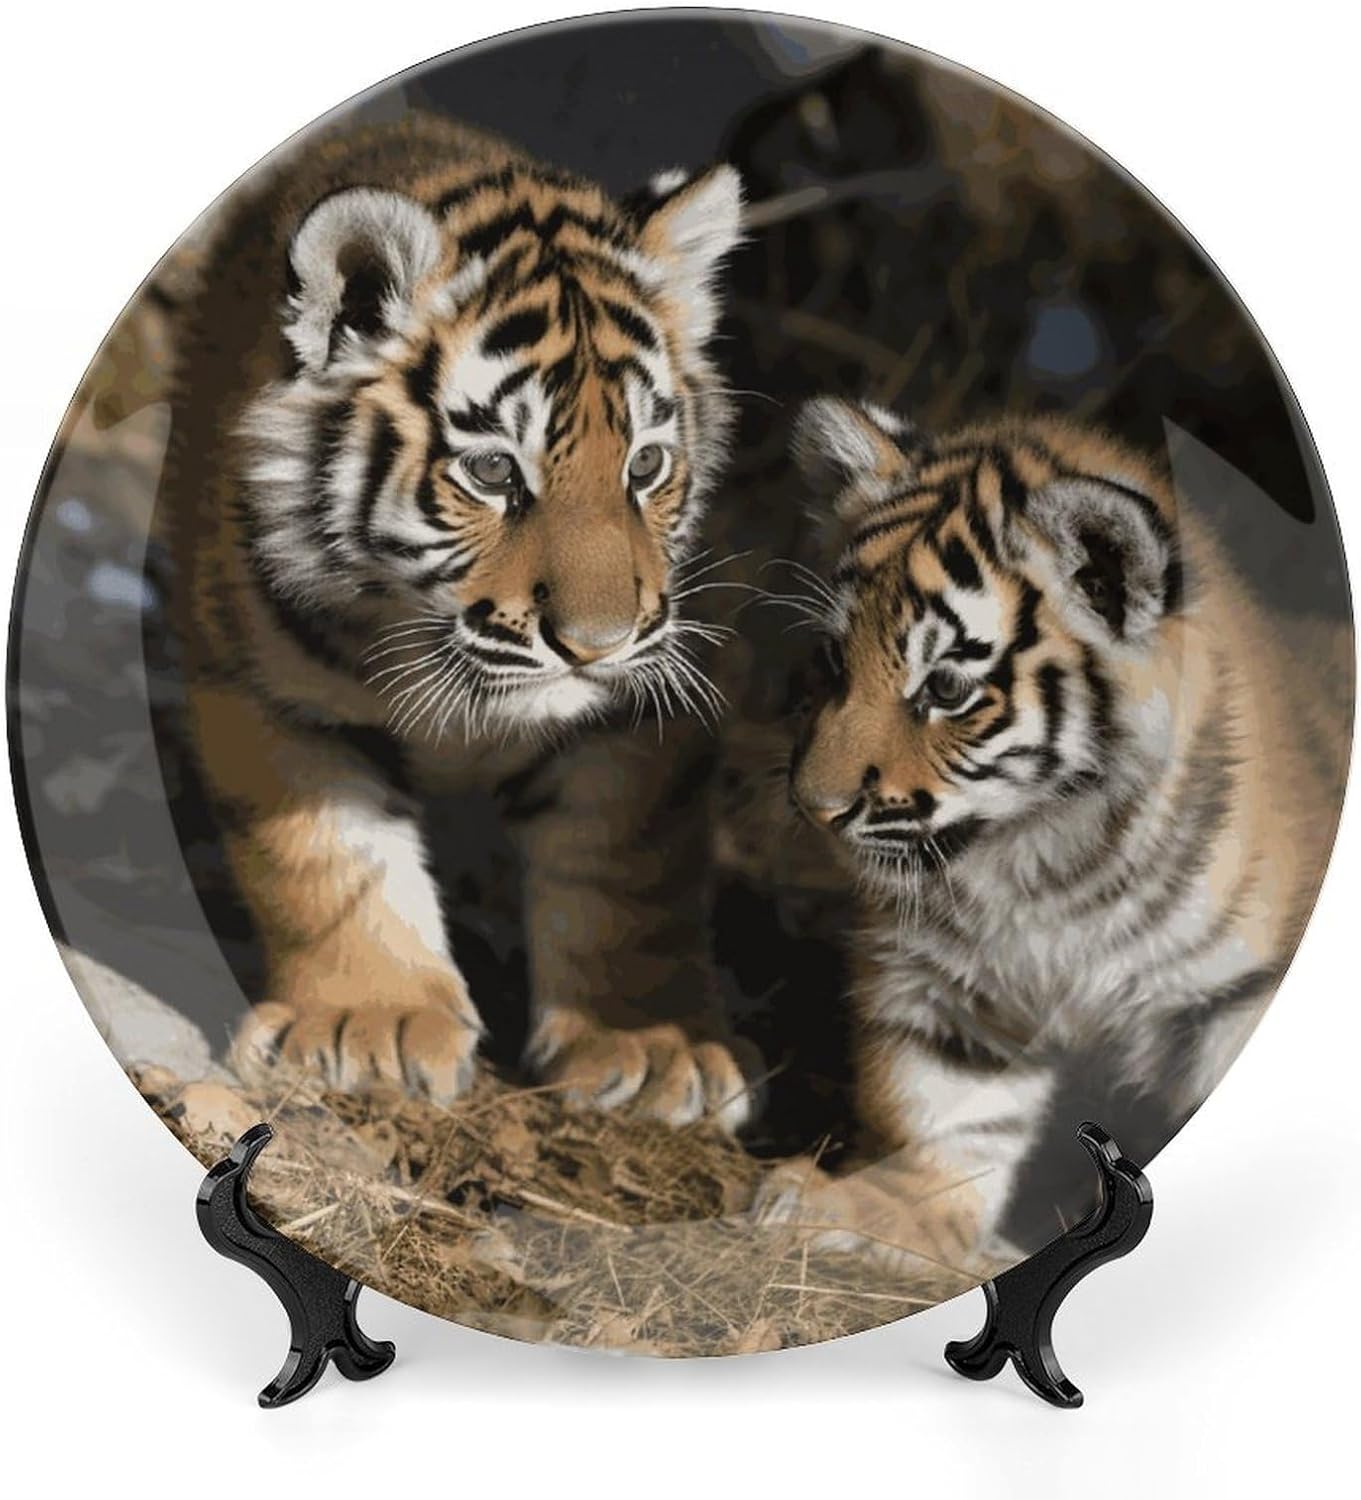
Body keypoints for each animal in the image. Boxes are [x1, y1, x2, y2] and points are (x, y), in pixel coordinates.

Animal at [158, 111, 758, 1129]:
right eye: (491, 472)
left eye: (643, 466)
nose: (596, 646)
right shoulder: (268, 694)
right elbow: (326, 860)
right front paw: (370, 1026)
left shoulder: (643, 711)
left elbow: (626, 867)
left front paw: (649, 1048)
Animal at [756, 395, 1351, 1263]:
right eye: (835, 660)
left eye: (946, 687)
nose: (814, 807)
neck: (1039, 856)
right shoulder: (950, 989)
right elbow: (938, 1110)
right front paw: (873, 1212)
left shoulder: (1241, 990)